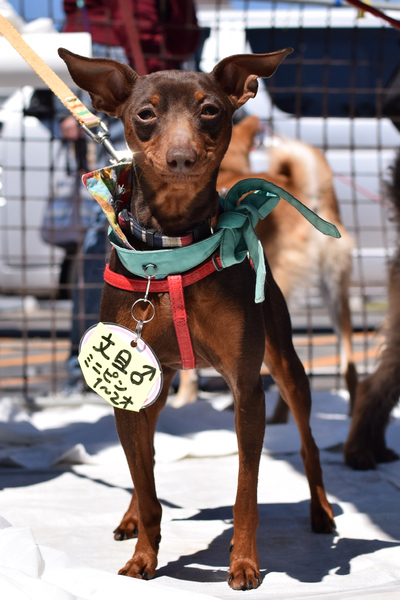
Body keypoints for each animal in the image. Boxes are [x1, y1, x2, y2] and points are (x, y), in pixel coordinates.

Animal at [59, 47, 335, 590]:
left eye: (210, 110)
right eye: (145, 114)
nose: (182, 157)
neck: (170, 248)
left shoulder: (247, 389)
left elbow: (246, 491)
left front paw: (244, 563)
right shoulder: (127, 395)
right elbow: (145, 484)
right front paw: (144, 555)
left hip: (285, 363)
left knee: (309, 443)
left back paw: (321, 511)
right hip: (156, 383)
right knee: (143, 461)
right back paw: (130, 517)